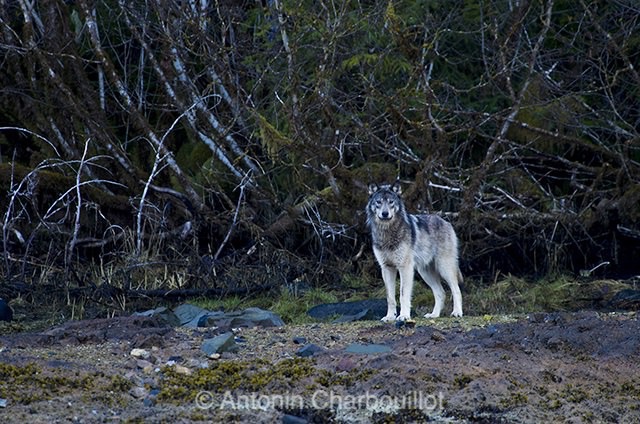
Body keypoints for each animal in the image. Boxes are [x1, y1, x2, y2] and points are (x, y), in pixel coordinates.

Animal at [368, 180, 462, 322]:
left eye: (391, 202)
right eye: (378, 202)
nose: (385, 213)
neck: (387, 232)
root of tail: (446, 222)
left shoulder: (405, 267)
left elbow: (403, 295)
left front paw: (404, 316)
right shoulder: (387, 268)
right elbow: (390, 297)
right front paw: (390, 317)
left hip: (444, 267)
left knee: (456, 289)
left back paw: (457, 312)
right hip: (425, 272)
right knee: (441, 293)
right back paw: (434, 315)